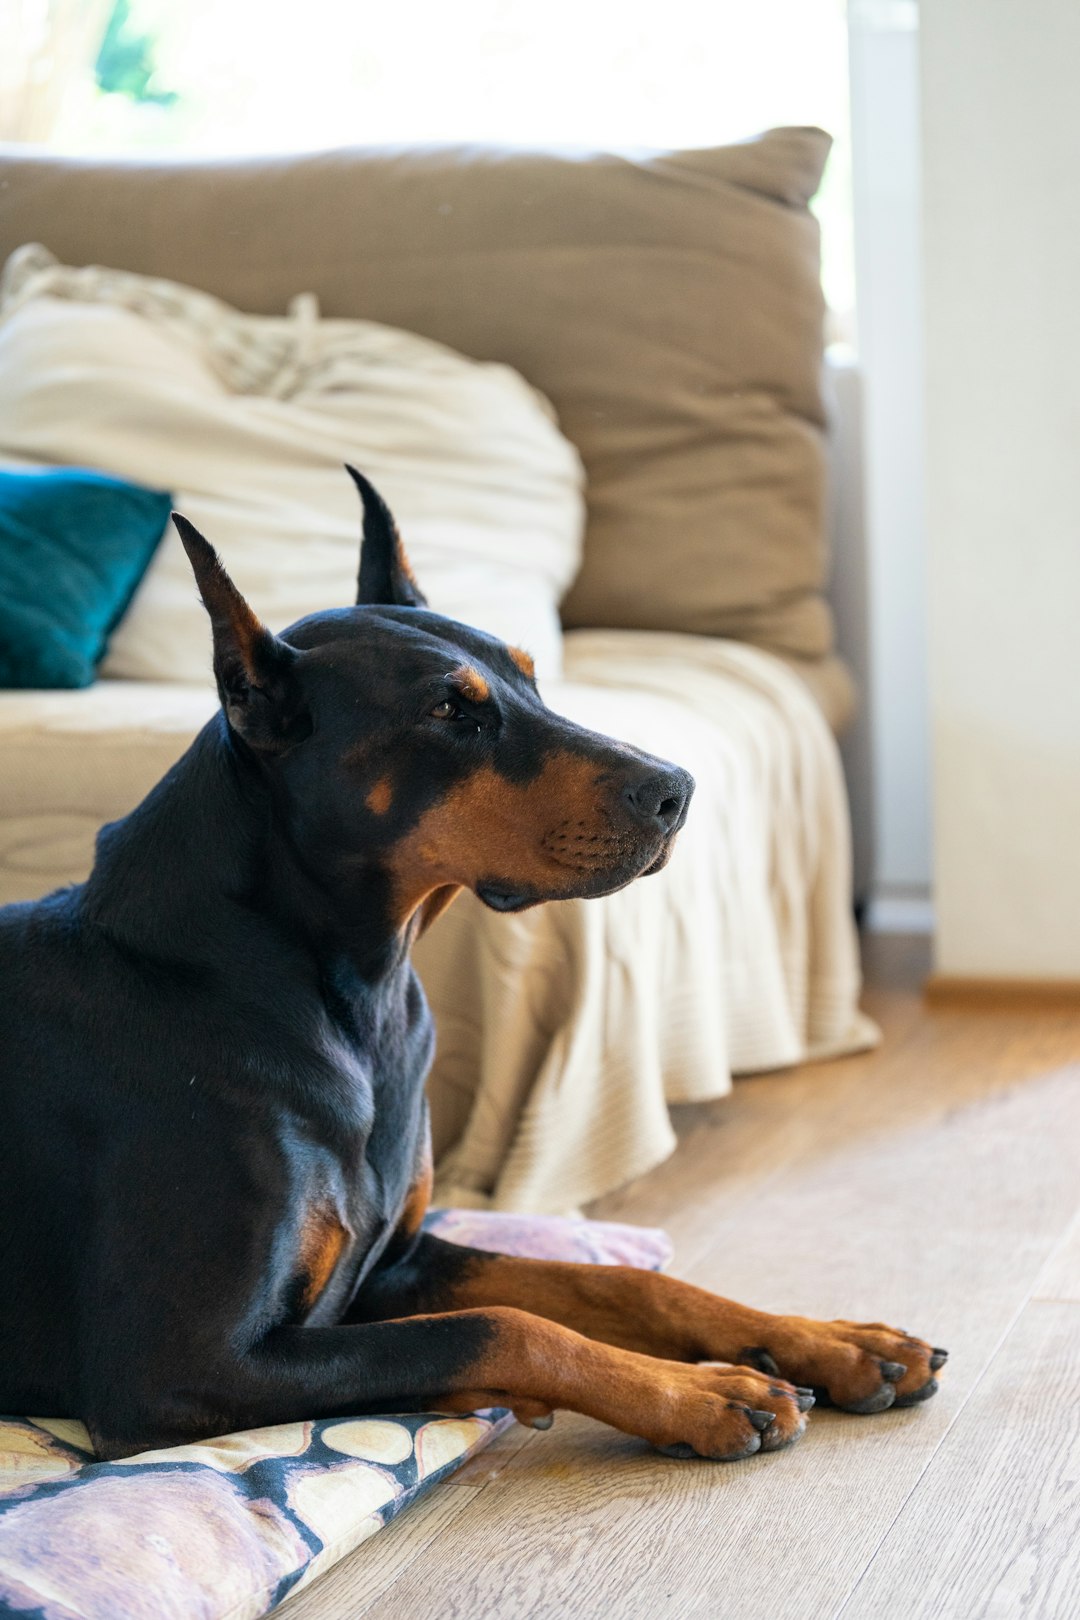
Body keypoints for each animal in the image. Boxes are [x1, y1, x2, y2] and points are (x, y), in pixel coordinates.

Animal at [0, 473, 945, 1470]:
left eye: (531, 675)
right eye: (452, 713)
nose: (677, 792)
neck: (349, 992)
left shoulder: (398, 1259)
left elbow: (620, 1285)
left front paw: (835, 1341)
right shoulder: (175, 1367)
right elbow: (501, 1325)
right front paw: (701, 1392)